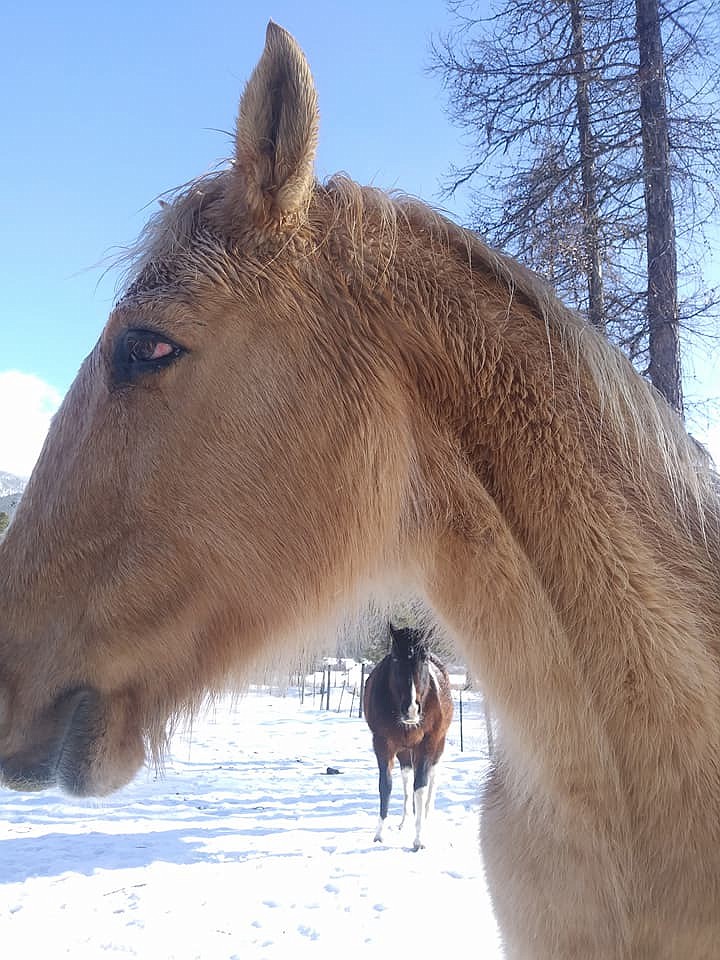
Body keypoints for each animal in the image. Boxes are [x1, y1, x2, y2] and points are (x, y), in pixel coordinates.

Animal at [362, 628, 452, 852]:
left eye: (424, 659)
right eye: (395, 658)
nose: (411, 709)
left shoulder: (427, 745)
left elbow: (420, 787)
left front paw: (419, 839)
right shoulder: (382, 744)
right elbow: (386, 785)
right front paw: (379, 834)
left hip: (438, 745)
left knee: (432, 779)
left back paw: (426, 817)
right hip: (404, 751)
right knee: (406, 779)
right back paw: (405, 821)